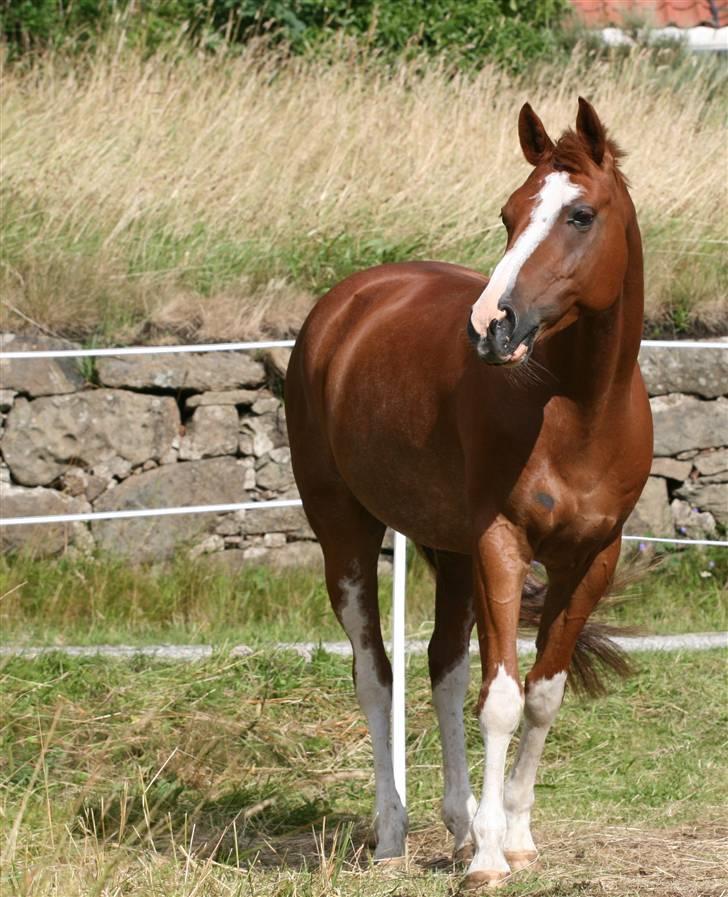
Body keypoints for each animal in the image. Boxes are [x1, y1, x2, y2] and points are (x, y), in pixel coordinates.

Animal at [282, 100, 652, 888]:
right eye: (509, 214)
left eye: (580, 214)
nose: (491, 326)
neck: (575, 410)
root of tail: (347, 303)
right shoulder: (499, 546)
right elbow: (501, 700)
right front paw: (488, 857)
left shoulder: (590, 559)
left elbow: (541, 694)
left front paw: (514, 836)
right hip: (346, 534)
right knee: (375, 673)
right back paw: (393, 833)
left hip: (447, 552)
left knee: (443, 670)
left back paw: (455, 825)